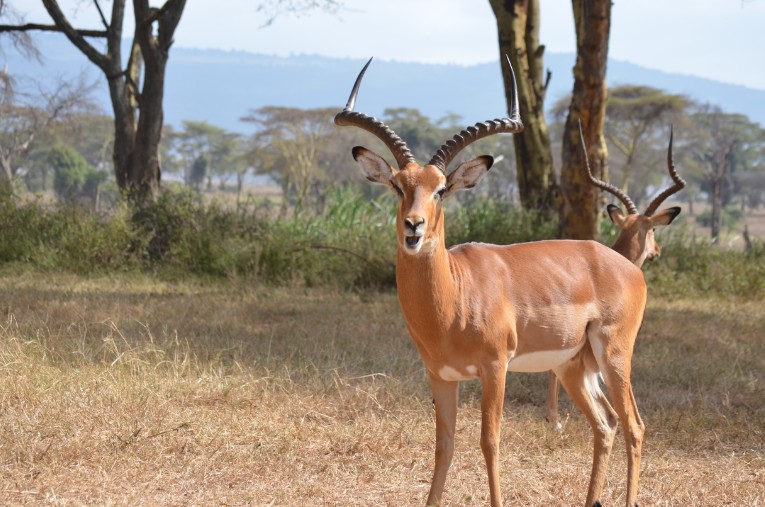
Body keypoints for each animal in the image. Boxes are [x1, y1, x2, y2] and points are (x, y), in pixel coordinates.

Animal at [335, 56, 647, 507]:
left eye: (441, 189)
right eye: (398, 185)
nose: (414, 226)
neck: (453, 297)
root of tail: (626, 265)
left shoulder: (495, 367)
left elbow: (490, 441)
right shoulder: (440, 375)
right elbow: (444, 445)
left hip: (615, 354)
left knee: (635, 425)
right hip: (573, 365)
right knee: (605, 424)